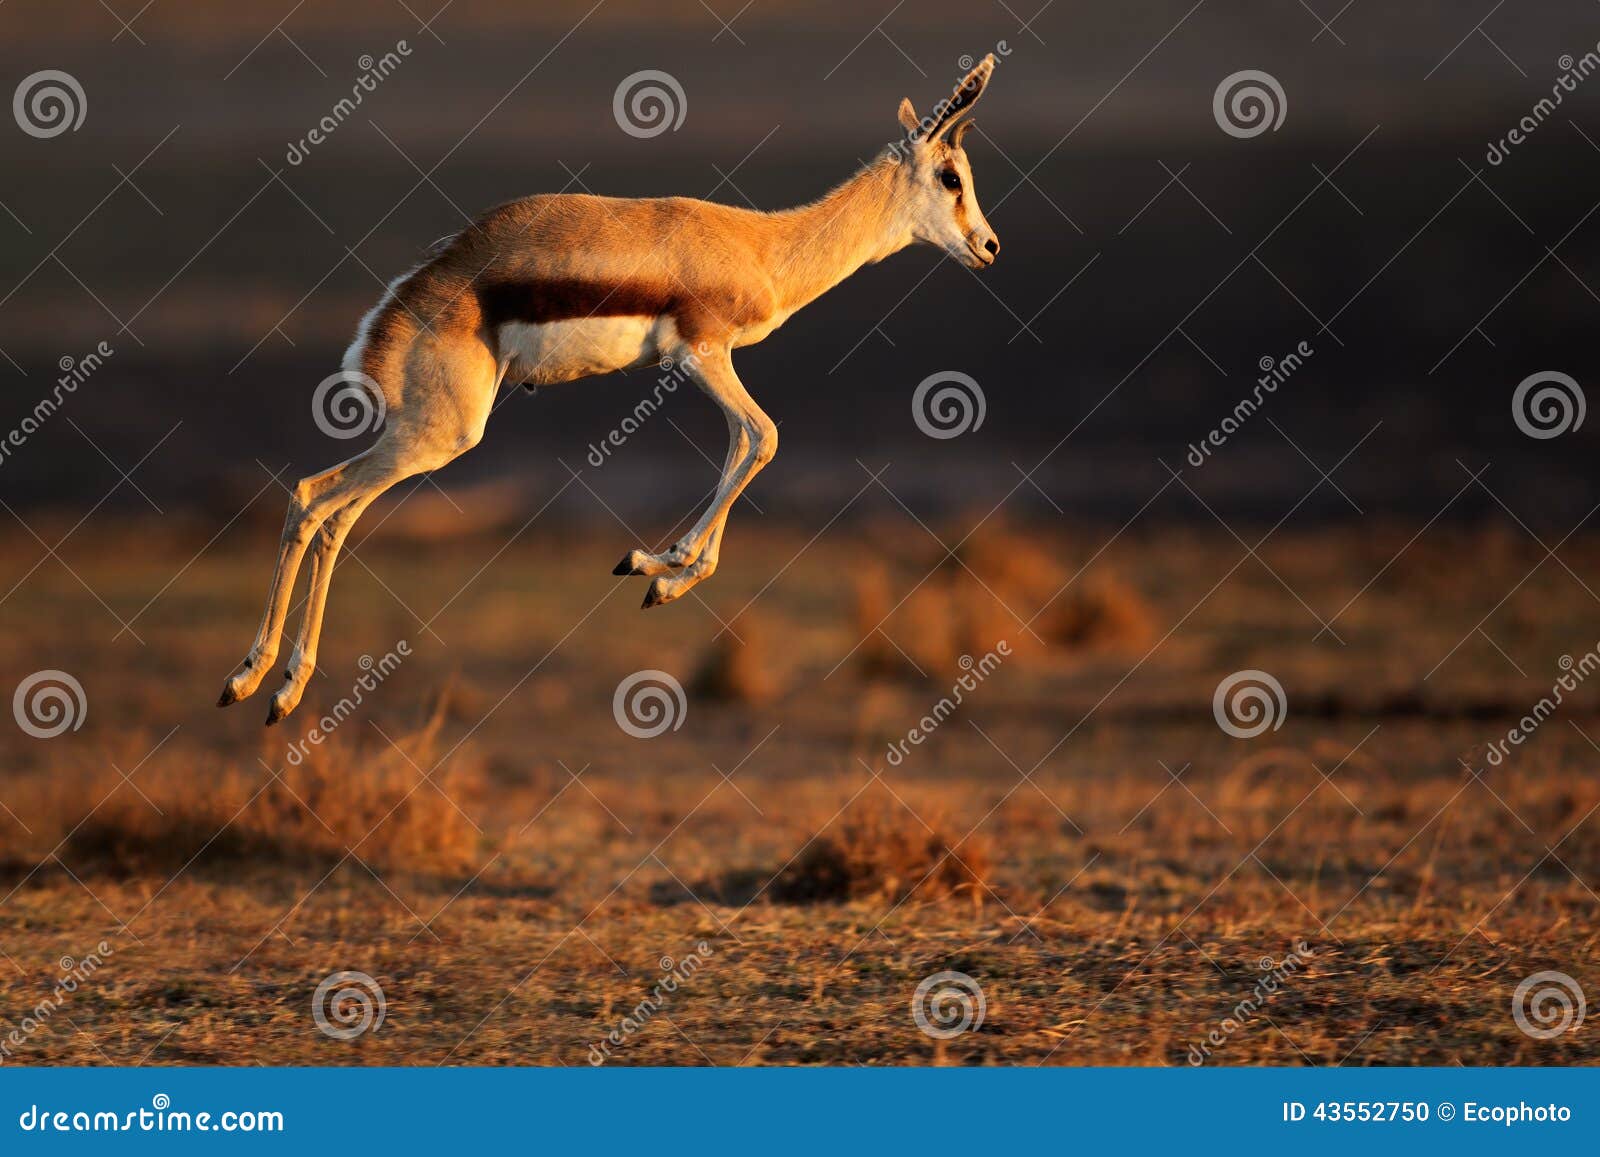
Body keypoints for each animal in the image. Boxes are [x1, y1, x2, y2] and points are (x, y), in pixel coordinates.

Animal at [222, 56, 998, 723]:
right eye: (950, 175)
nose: (988, 246)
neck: (762, 247)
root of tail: (400, 300)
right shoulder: (701, 353)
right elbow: (764, 438)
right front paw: (659, 564)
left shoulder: (707, 364)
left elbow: (740, 447)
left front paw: (660, 574)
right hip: (442, 434)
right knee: (315, 497)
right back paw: (258, 683)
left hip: (417, 434)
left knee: (334, 511)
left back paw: (274, 685)